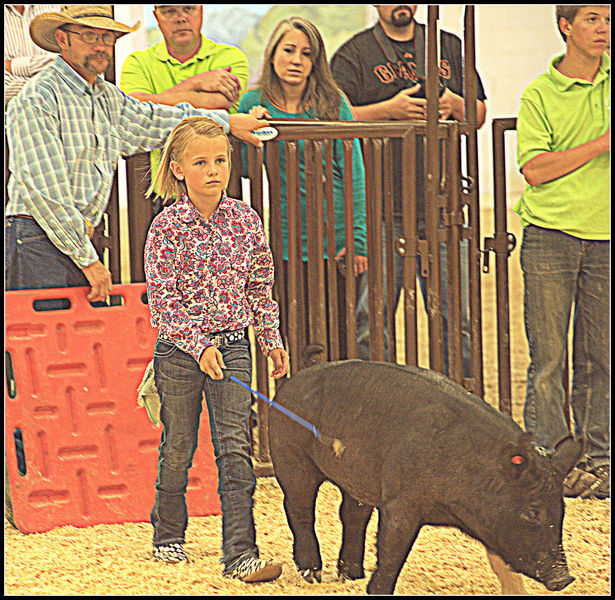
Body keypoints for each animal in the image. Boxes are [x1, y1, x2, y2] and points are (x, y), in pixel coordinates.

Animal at [268, 360, 584, 596]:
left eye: (561, 508)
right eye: (533, 512)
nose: (564, 578)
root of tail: (291, 382)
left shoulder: (489, 522)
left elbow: (501, 564)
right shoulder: (400, 503)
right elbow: (392, 552)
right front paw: (375, 589)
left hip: (356, 482)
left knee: (352, 516)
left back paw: (351, 575)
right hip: (291, 456)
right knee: (299, 509)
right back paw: (312, 574)